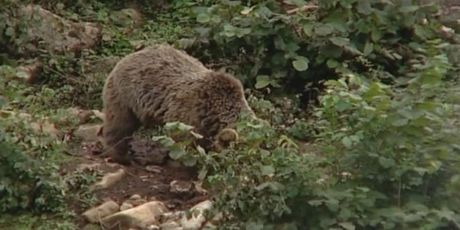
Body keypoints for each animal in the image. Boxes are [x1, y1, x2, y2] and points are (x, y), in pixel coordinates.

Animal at [101, 44, 255, 164]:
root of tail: (129, 56)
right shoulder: (189, 115)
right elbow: (184, 142)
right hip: (126, 95)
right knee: (120, 124)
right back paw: (121, 155)